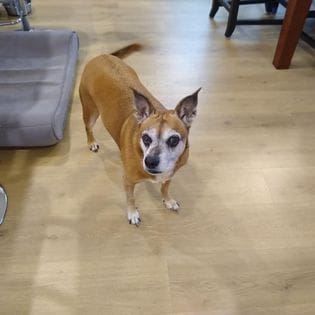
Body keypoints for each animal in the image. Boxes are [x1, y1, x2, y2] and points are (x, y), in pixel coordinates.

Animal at [80, 45, 201, 227]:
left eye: (173, 140)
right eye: (146, 138)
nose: (150, 161)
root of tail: (101, 56)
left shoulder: (169, 175)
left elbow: (165, 187)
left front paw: (168, 200)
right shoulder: (128, 181)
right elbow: (130, 198)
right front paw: (132, 213)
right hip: (91, 111)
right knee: (88, 127)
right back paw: (92, 142)